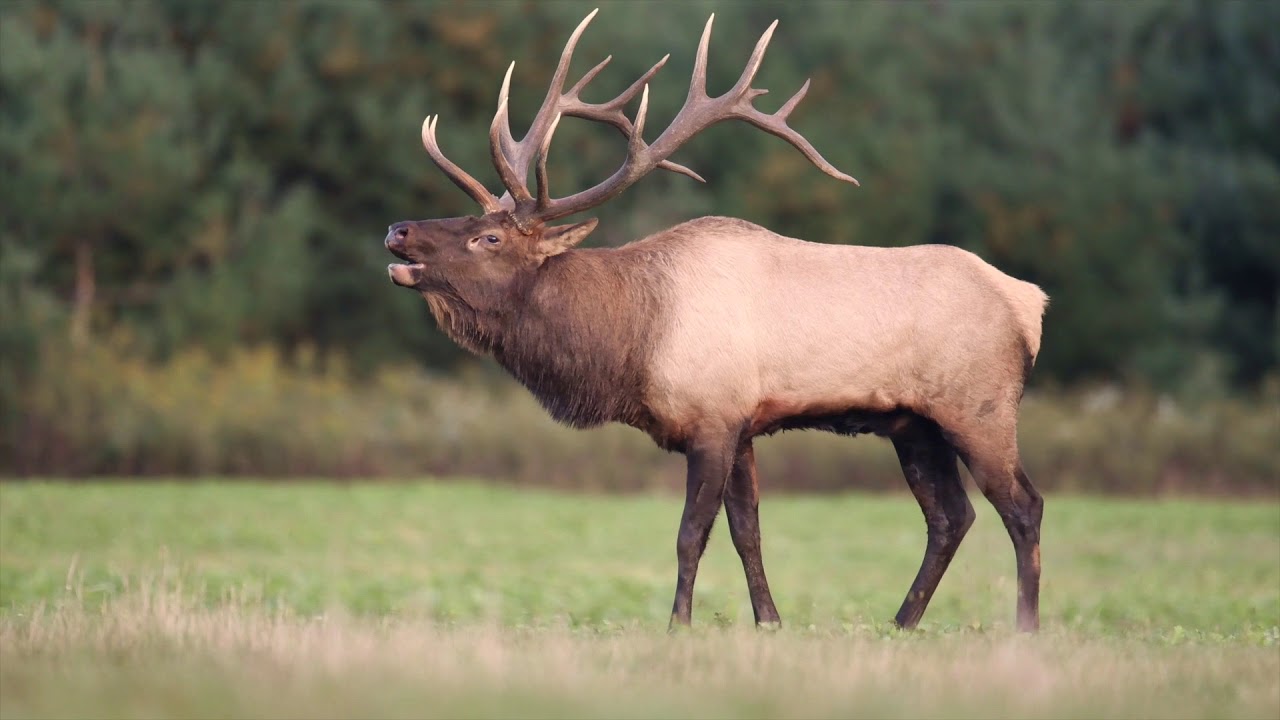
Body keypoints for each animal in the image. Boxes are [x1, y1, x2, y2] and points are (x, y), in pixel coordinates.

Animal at [383, 10, 1049, 633]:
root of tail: (1029, 303)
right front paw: (770, 621)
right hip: (914, 424)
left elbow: (691, 533)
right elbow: (746, 531)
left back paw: (1024, 627)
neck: (632, 340)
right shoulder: (743, 425)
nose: (399, 229)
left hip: (979, 407)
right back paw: (901, 622)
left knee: (1023, 506)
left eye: (489, 237)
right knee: (951, 515)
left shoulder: (711, 419)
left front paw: (679, 623)